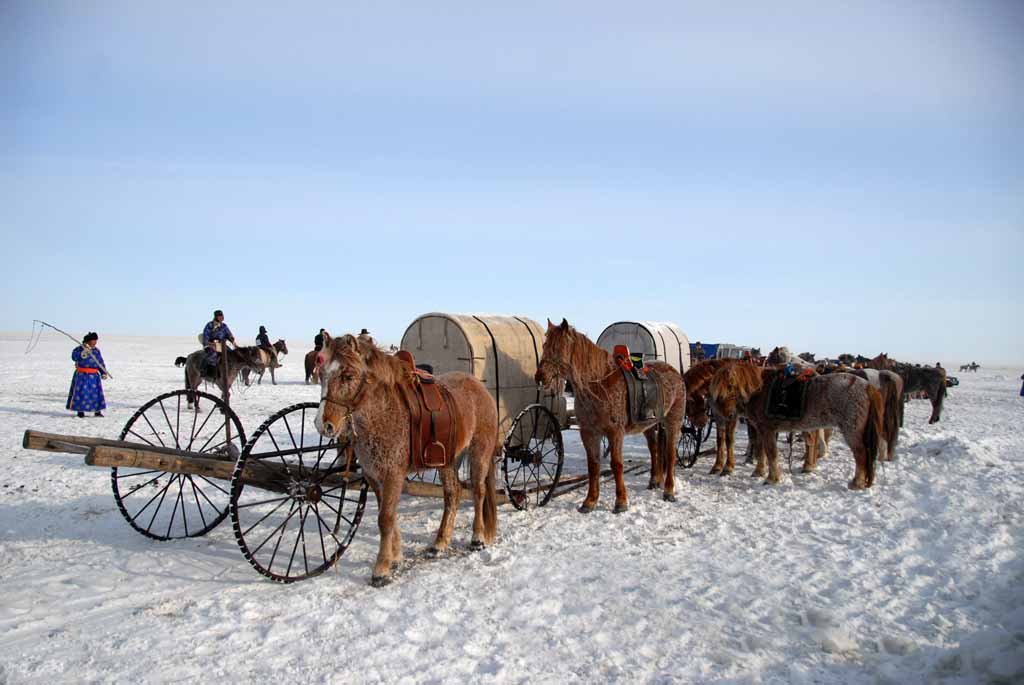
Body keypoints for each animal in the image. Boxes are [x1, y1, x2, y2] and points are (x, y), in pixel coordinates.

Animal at [315, 333, 499, 585]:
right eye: (322, 374)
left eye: (348, 376)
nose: (323, 425)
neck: (383, 413)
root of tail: (480, 388)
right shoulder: (374, 477)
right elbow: (388, 516)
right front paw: (395, 557)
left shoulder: (393, 474)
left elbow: (385, 518)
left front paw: (381, 569)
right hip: (447, 460)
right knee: (453, 494)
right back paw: (440, 543)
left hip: (479, 451)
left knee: (478, 492)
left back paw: (477, 537)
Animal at [532, 317, 684, 509]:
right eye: (545, 345)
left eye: (559, 347)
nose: (540, 376)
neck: (598, 384)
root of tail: (674, 373)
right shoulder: (589, 432)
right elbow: (593, 465)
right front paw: (590, 501)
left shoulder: (615, 432)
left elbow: (617, 464)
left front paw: (621, 501)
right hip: (649, 425)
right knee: (654, 449)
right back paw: (654, 480)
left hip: (673, 422)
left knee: (670, 455)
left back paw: (669, 490)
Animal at [712, 368, 888, 485]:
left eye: (730, 387)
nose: (727, 416)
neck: (759, 390)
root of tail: (868, 386)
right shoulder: (761, 429)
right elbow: (762, 451)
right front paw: (759, 472)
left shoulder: (767, 430)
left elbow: (771, 453)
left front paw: (772, 479)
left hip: (852, 431)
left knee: (861, 454)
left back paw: (857, 483)